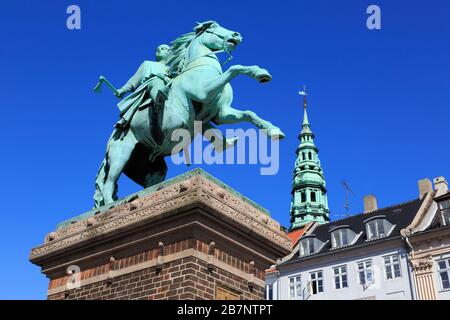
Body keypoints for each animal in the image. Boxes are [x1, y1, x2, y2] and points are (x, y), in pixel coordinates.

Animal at [93, 21, 286, 208]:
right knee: (108, 184)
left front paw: (272, 130)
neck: (200, 66)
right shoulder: (204, 92)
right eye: (213, 27)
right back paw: (110, 206)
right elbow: (234, 68)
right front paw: (259, 72)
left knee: (148, 183)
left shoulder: (221, 113)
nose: (236, 34)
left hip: (155, 169)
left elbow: (248, 113)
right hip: (120, 154)